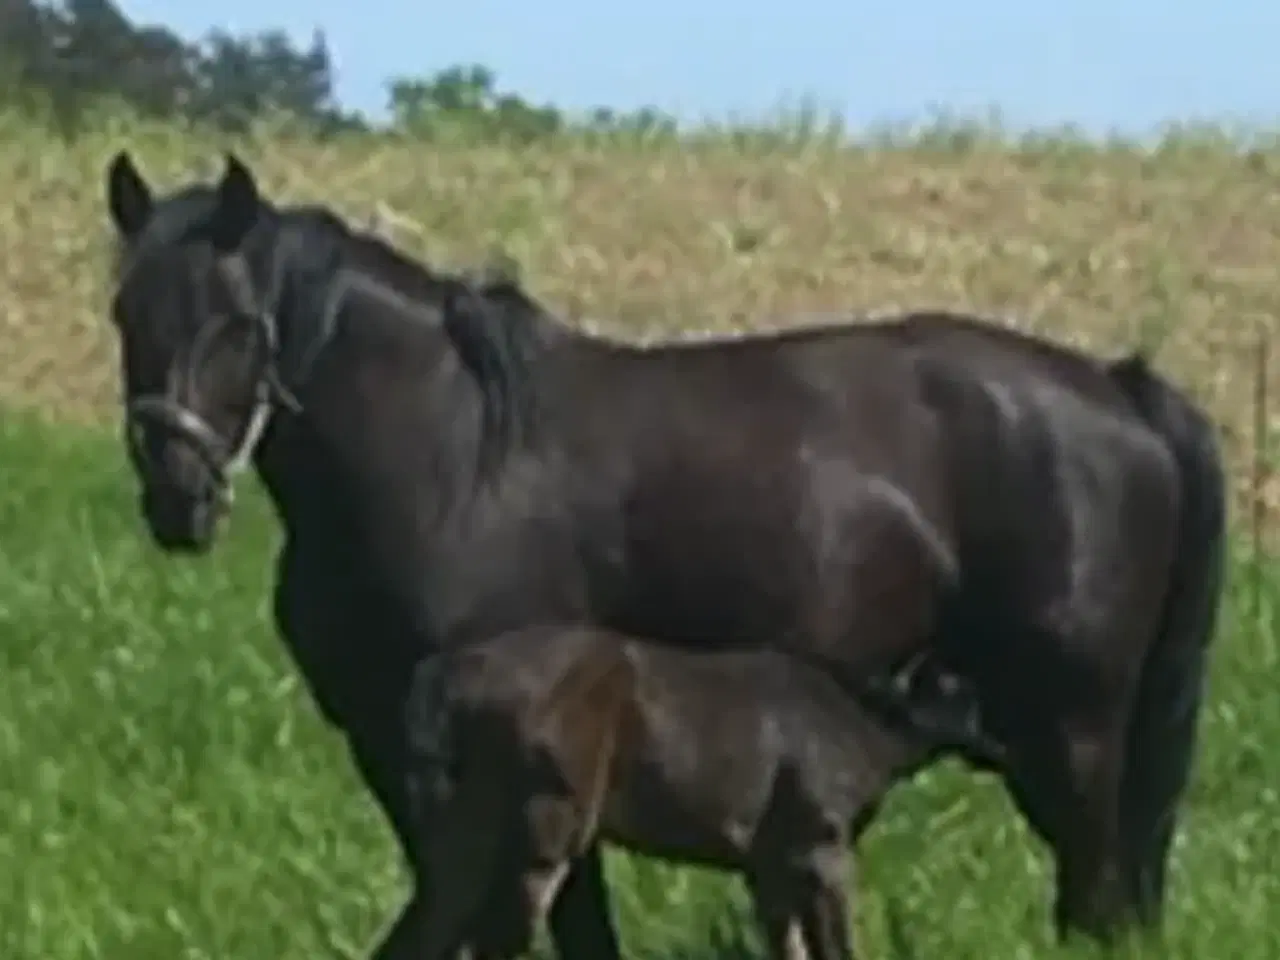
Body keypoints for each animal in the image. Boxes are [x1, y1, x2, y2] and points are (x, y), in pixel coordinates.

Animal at [404, 627, 993, 957]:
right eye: (963, 691)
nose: (1000, 741)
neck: (866, 726)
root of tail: (449, 678)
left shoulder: (768, 865)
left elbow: (791, 948)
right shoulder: (820, 848)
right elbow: (838, 947)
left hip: (468, 837)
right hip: (545, 833)